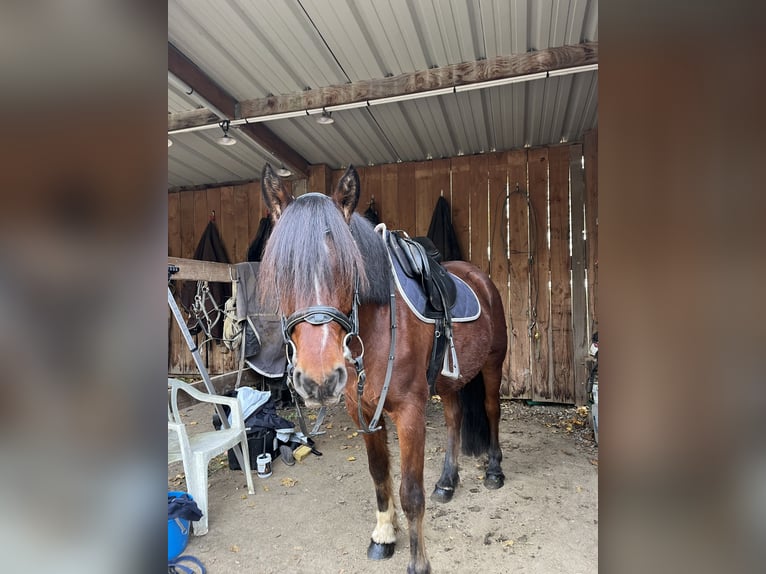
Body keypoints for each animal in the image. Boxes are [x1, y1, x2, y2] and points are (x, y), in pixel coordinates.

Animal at [257, 164, 507, 574]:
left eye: (349, 267)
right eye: (282, 270)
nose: (319, 379)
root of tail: (478, 277)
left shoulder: (409, 412)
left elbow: (411, 492)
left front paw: (419, 562)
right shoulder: (361, 410)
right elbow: (379, 475)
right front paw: (384, 536)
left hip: (492, 365)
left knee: (491, 410)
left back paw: (494, 471)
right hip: (448, 383)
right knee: (454, 420)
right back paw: (448, 481)